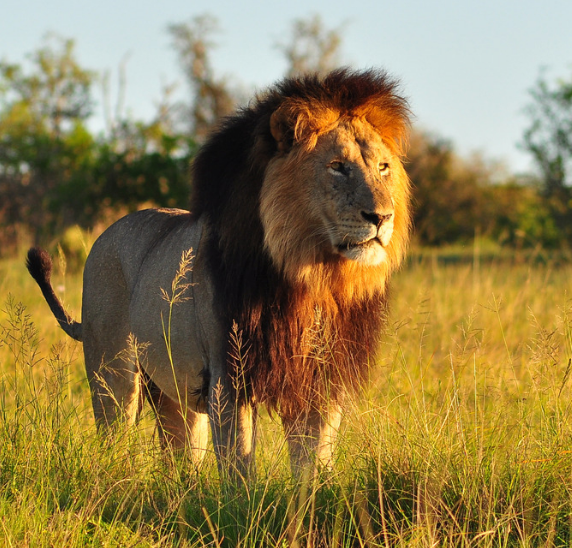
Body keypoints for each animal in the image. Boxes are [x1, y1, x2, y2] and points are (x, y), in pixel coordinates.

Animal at [27, 69, 412, 480]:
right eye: (338, 166)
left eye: (383, 168)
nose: (382, 217)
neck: (312, 274)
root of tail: (103, 236)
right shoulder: (229, 377)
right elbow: (239, 463)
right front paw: (245, 498)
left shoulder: (319, 378)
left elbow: (314, 460)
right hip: (113, 378)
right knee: (113, 439)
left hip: (174, 394)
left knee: (179, 455)